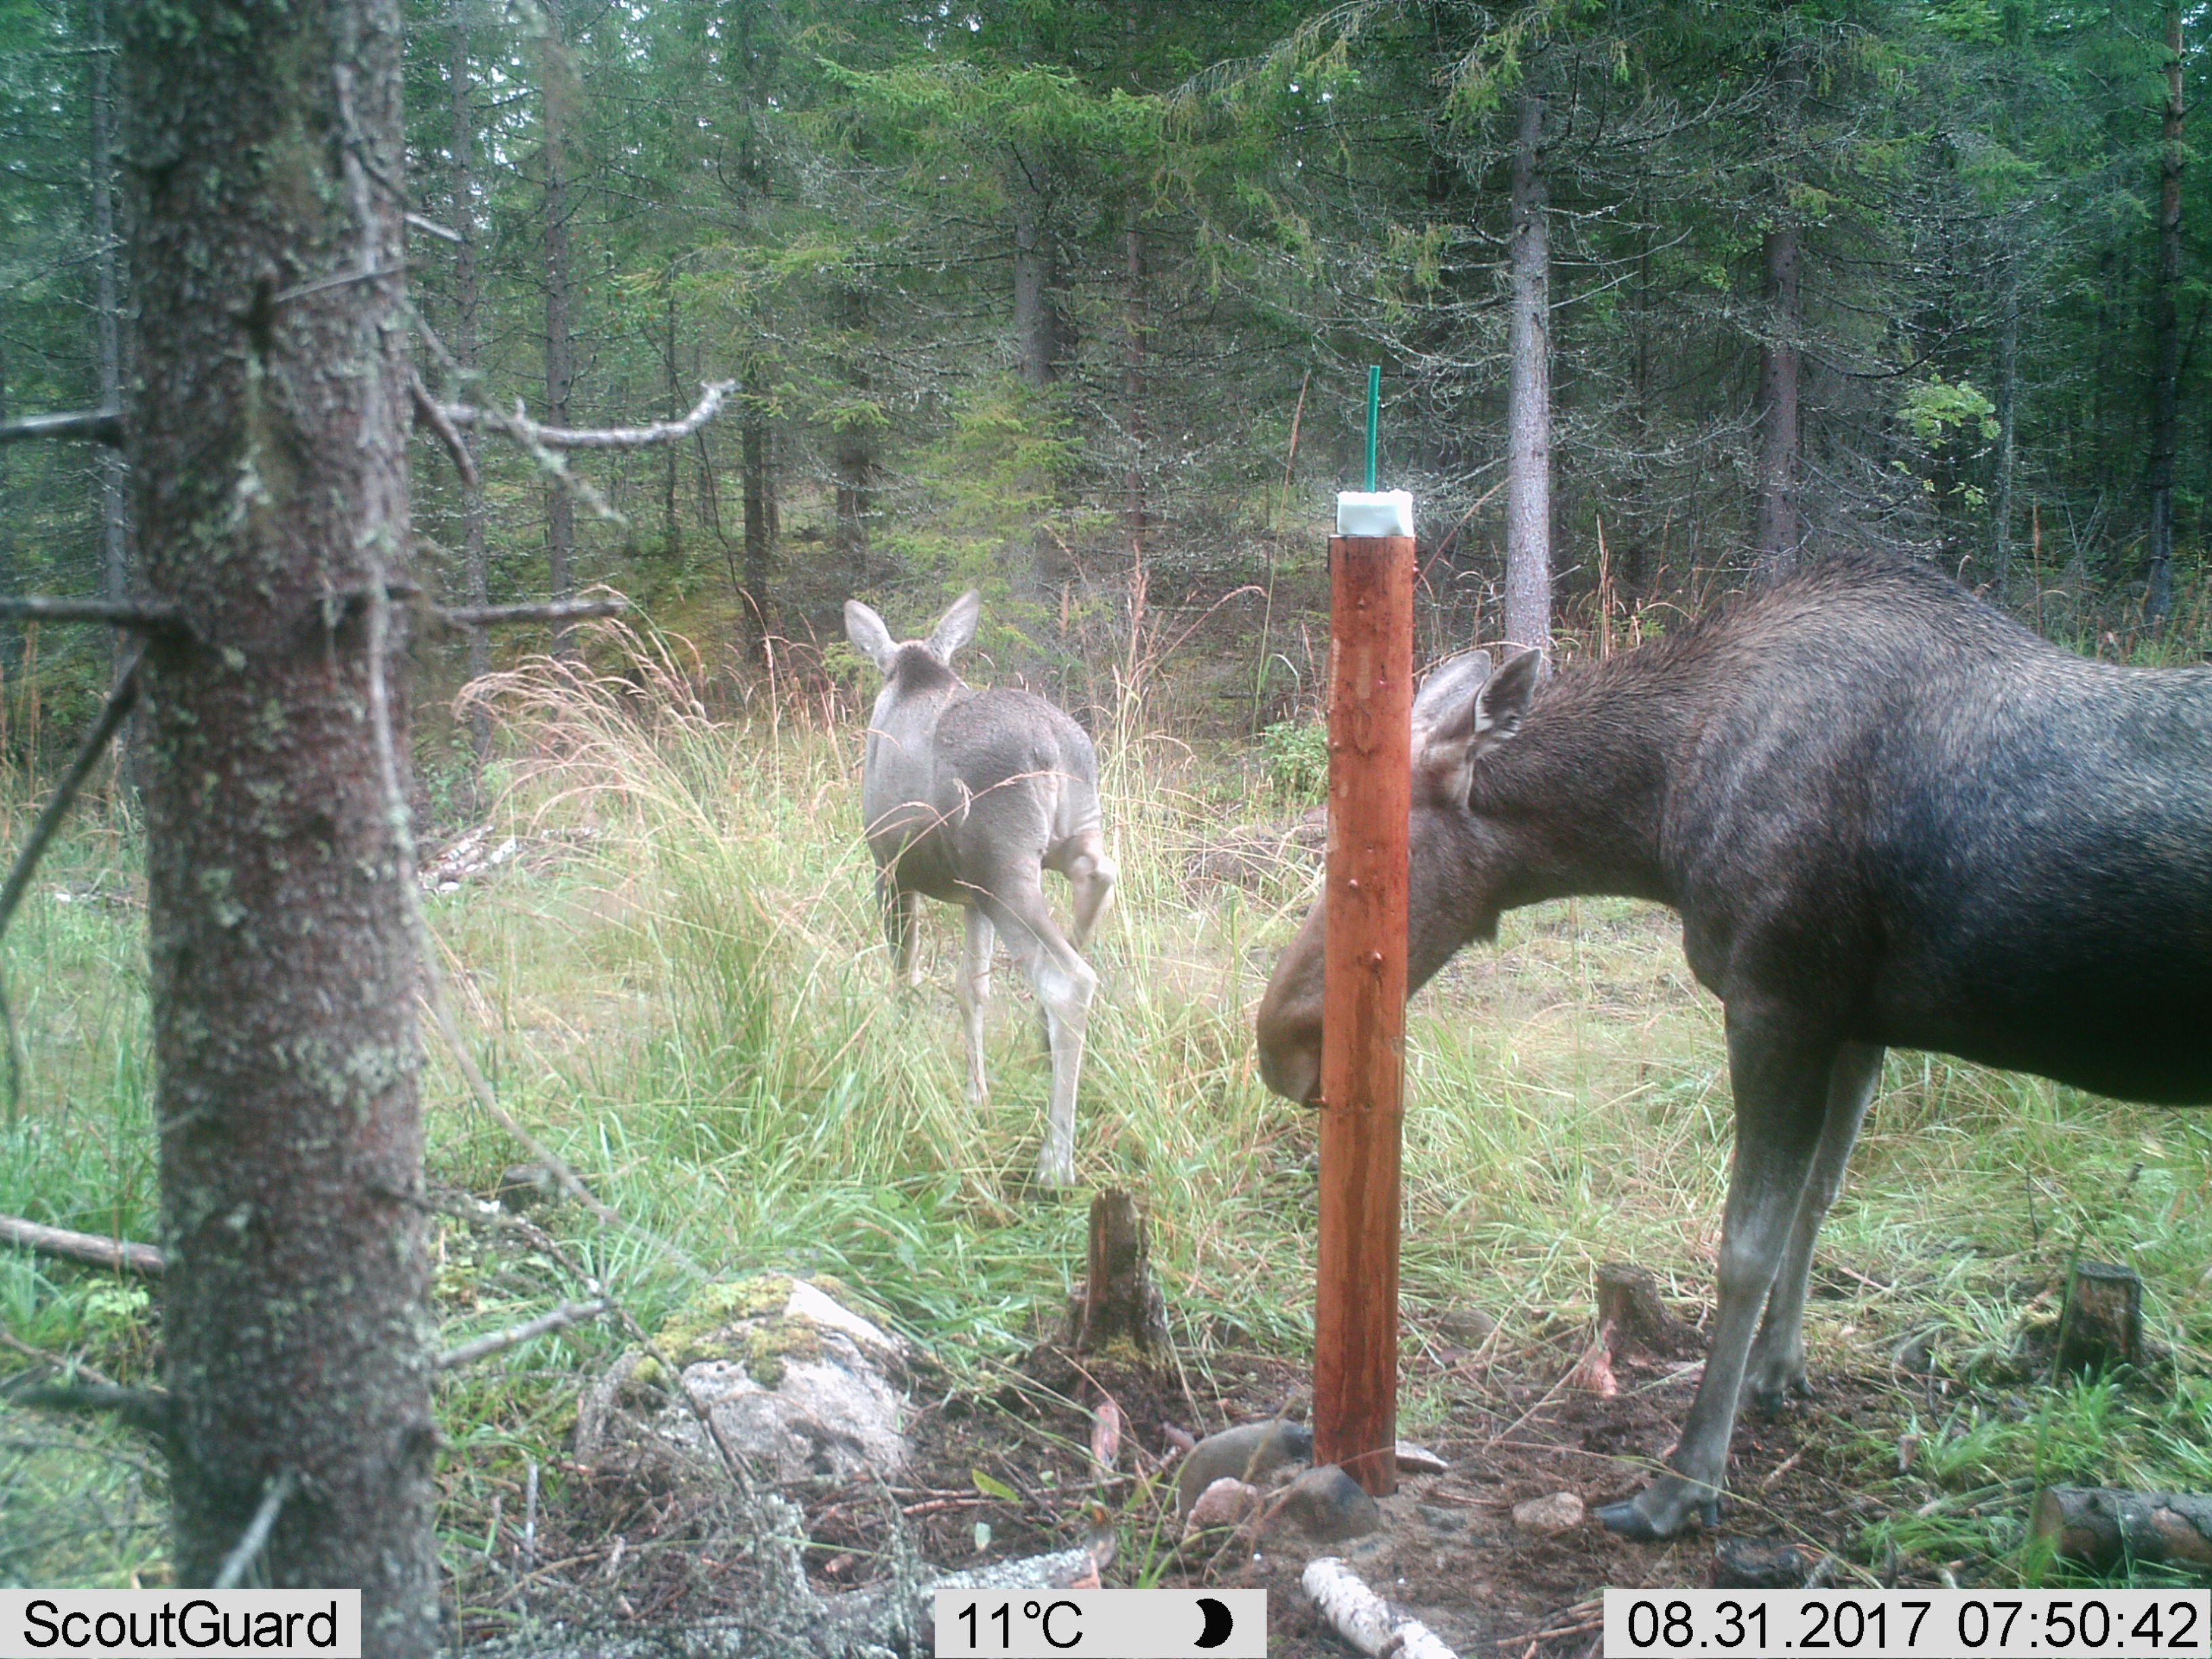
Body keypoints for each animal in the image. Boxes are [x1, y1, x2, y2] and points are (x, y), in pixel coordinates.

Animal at [846, 590, 1117, 1187]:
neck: (912, 673)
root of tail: (1051, 750)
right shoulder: (970, 900)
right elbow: (973, 990)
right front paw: (977, 1095)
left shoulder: (889, 869)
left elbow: (905, 978)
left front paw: (903, 1061)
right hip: (1056, 841)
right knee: (1101, 875)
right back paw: (1042, 1040)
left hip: (1003, 866)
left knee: (1068, 979)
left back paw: (1055, 1162)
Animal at [1254, 551, 2212, 1541]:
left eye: (1365, 861)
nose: (1278, 1041)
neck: (1655, 825)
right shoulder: (1856, 1023)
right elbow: (1817, 1202)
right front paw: (1776, 1375)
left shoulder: (1777, 1001)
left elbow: (1744, 1246)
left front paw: (1684, 1481)